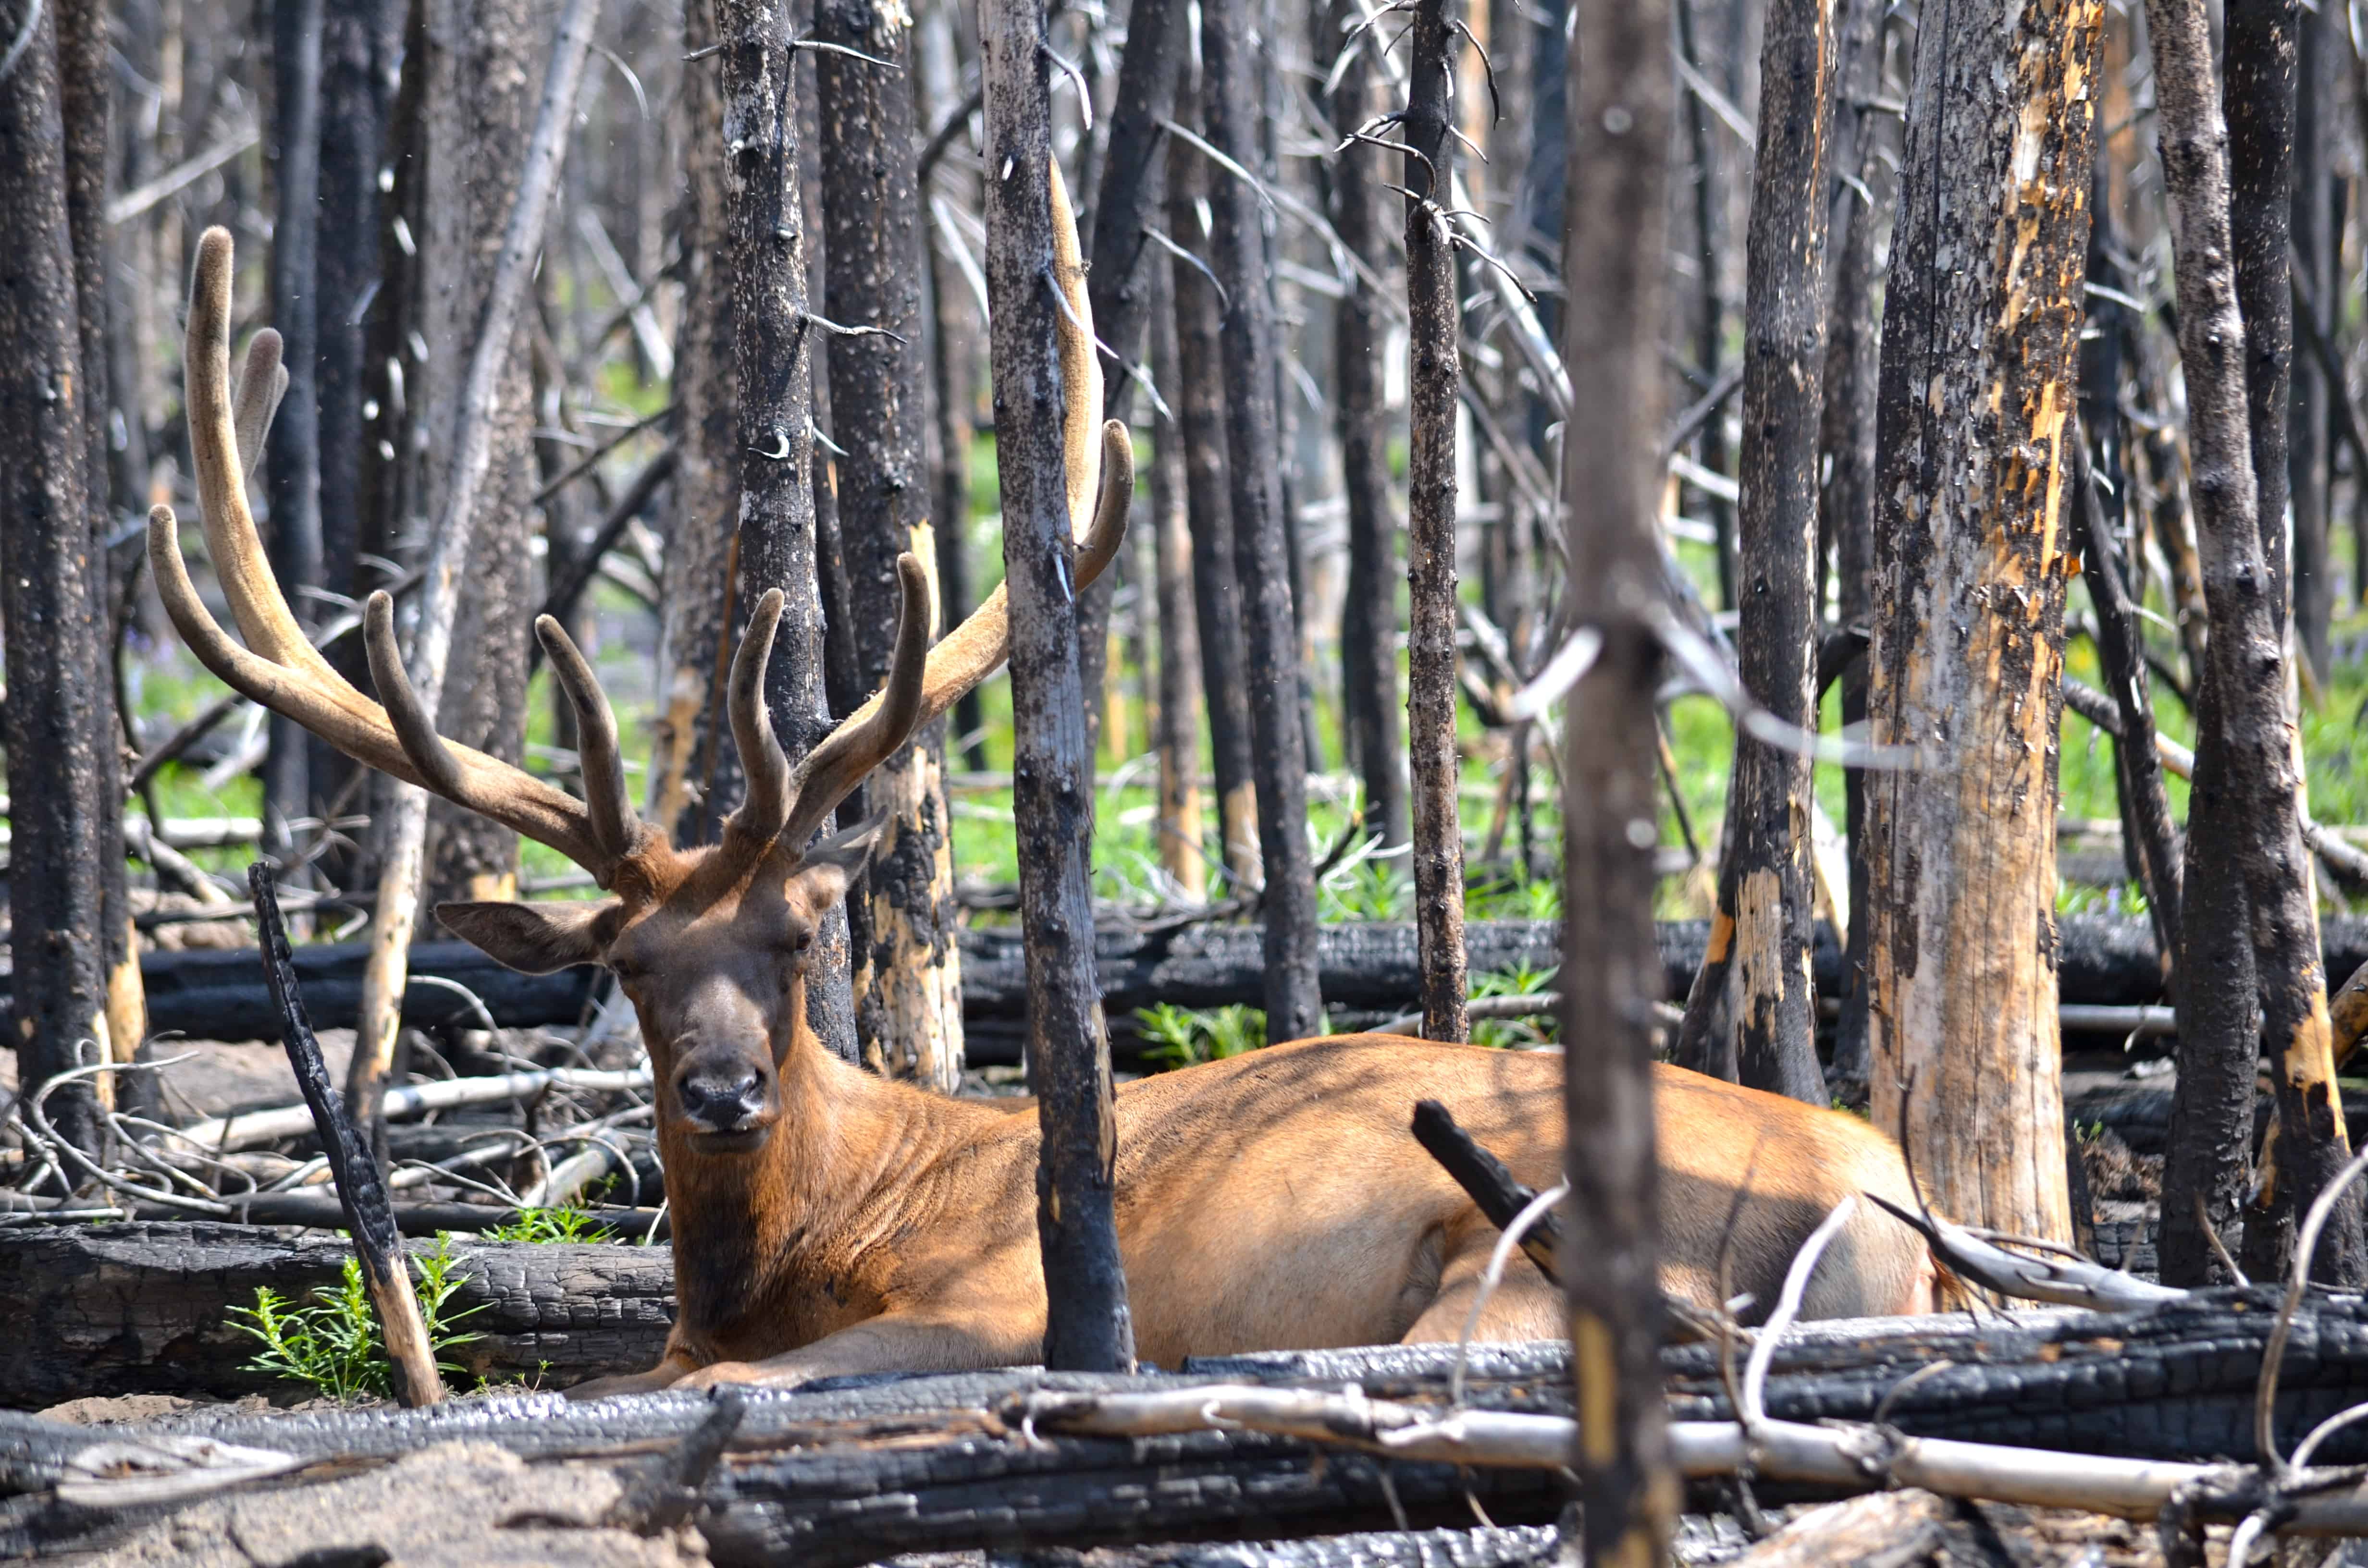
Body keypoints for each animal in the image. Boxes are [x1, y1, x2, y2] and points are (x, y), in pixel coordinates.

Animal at [150, 173, 1934, 1401]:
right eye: (629, 964)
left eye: (794, 941)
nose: (722, 1090)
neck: (816, 1225)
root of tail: (1888, 1199)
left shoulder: (997, 1299)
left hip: (1502, 1255)